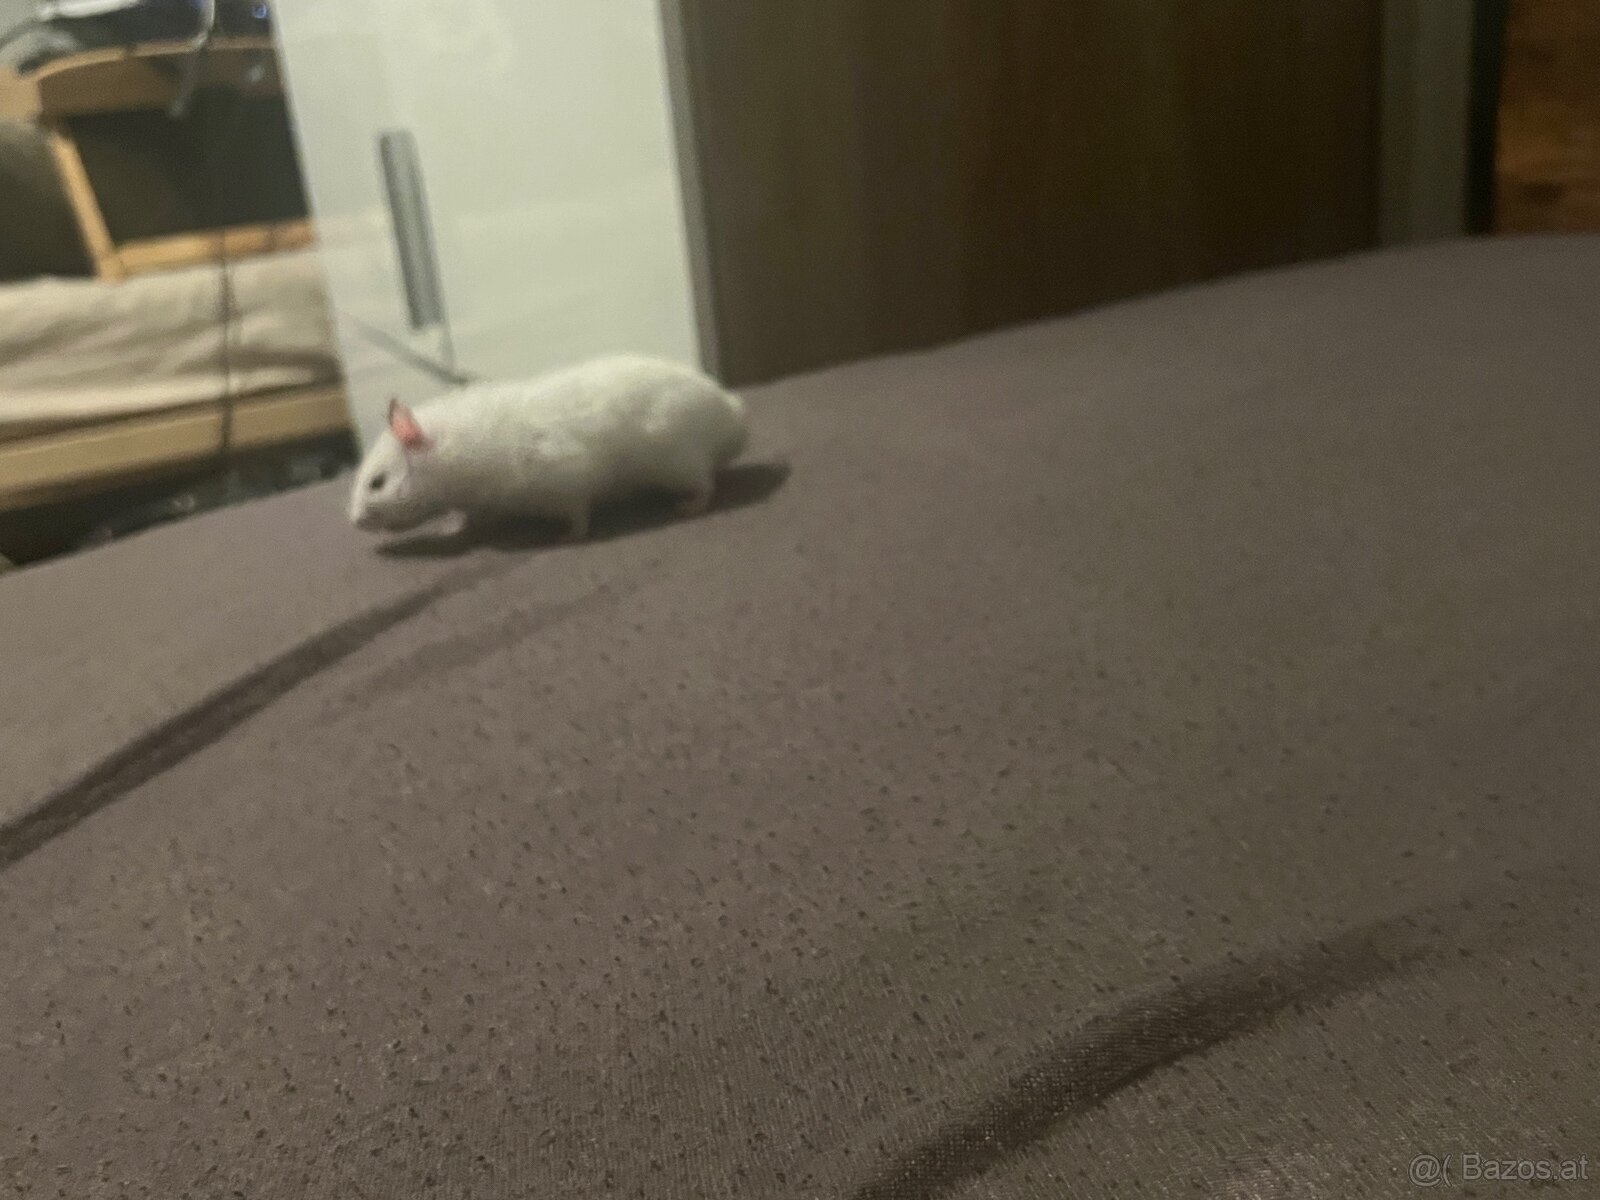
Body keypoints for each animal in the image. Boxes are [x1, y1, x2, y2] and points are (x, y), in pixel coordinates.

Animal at [348, 354, 748, 540]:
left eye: (377, 483)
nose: (354, 522)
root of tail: (732, 412)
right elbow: (468, 518)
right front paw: (452, 527)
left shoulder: (566, 478)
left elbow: (578, 513)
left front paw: (568, 535)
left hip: (679, 464)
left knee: (706, 485)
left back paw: (690, 506)